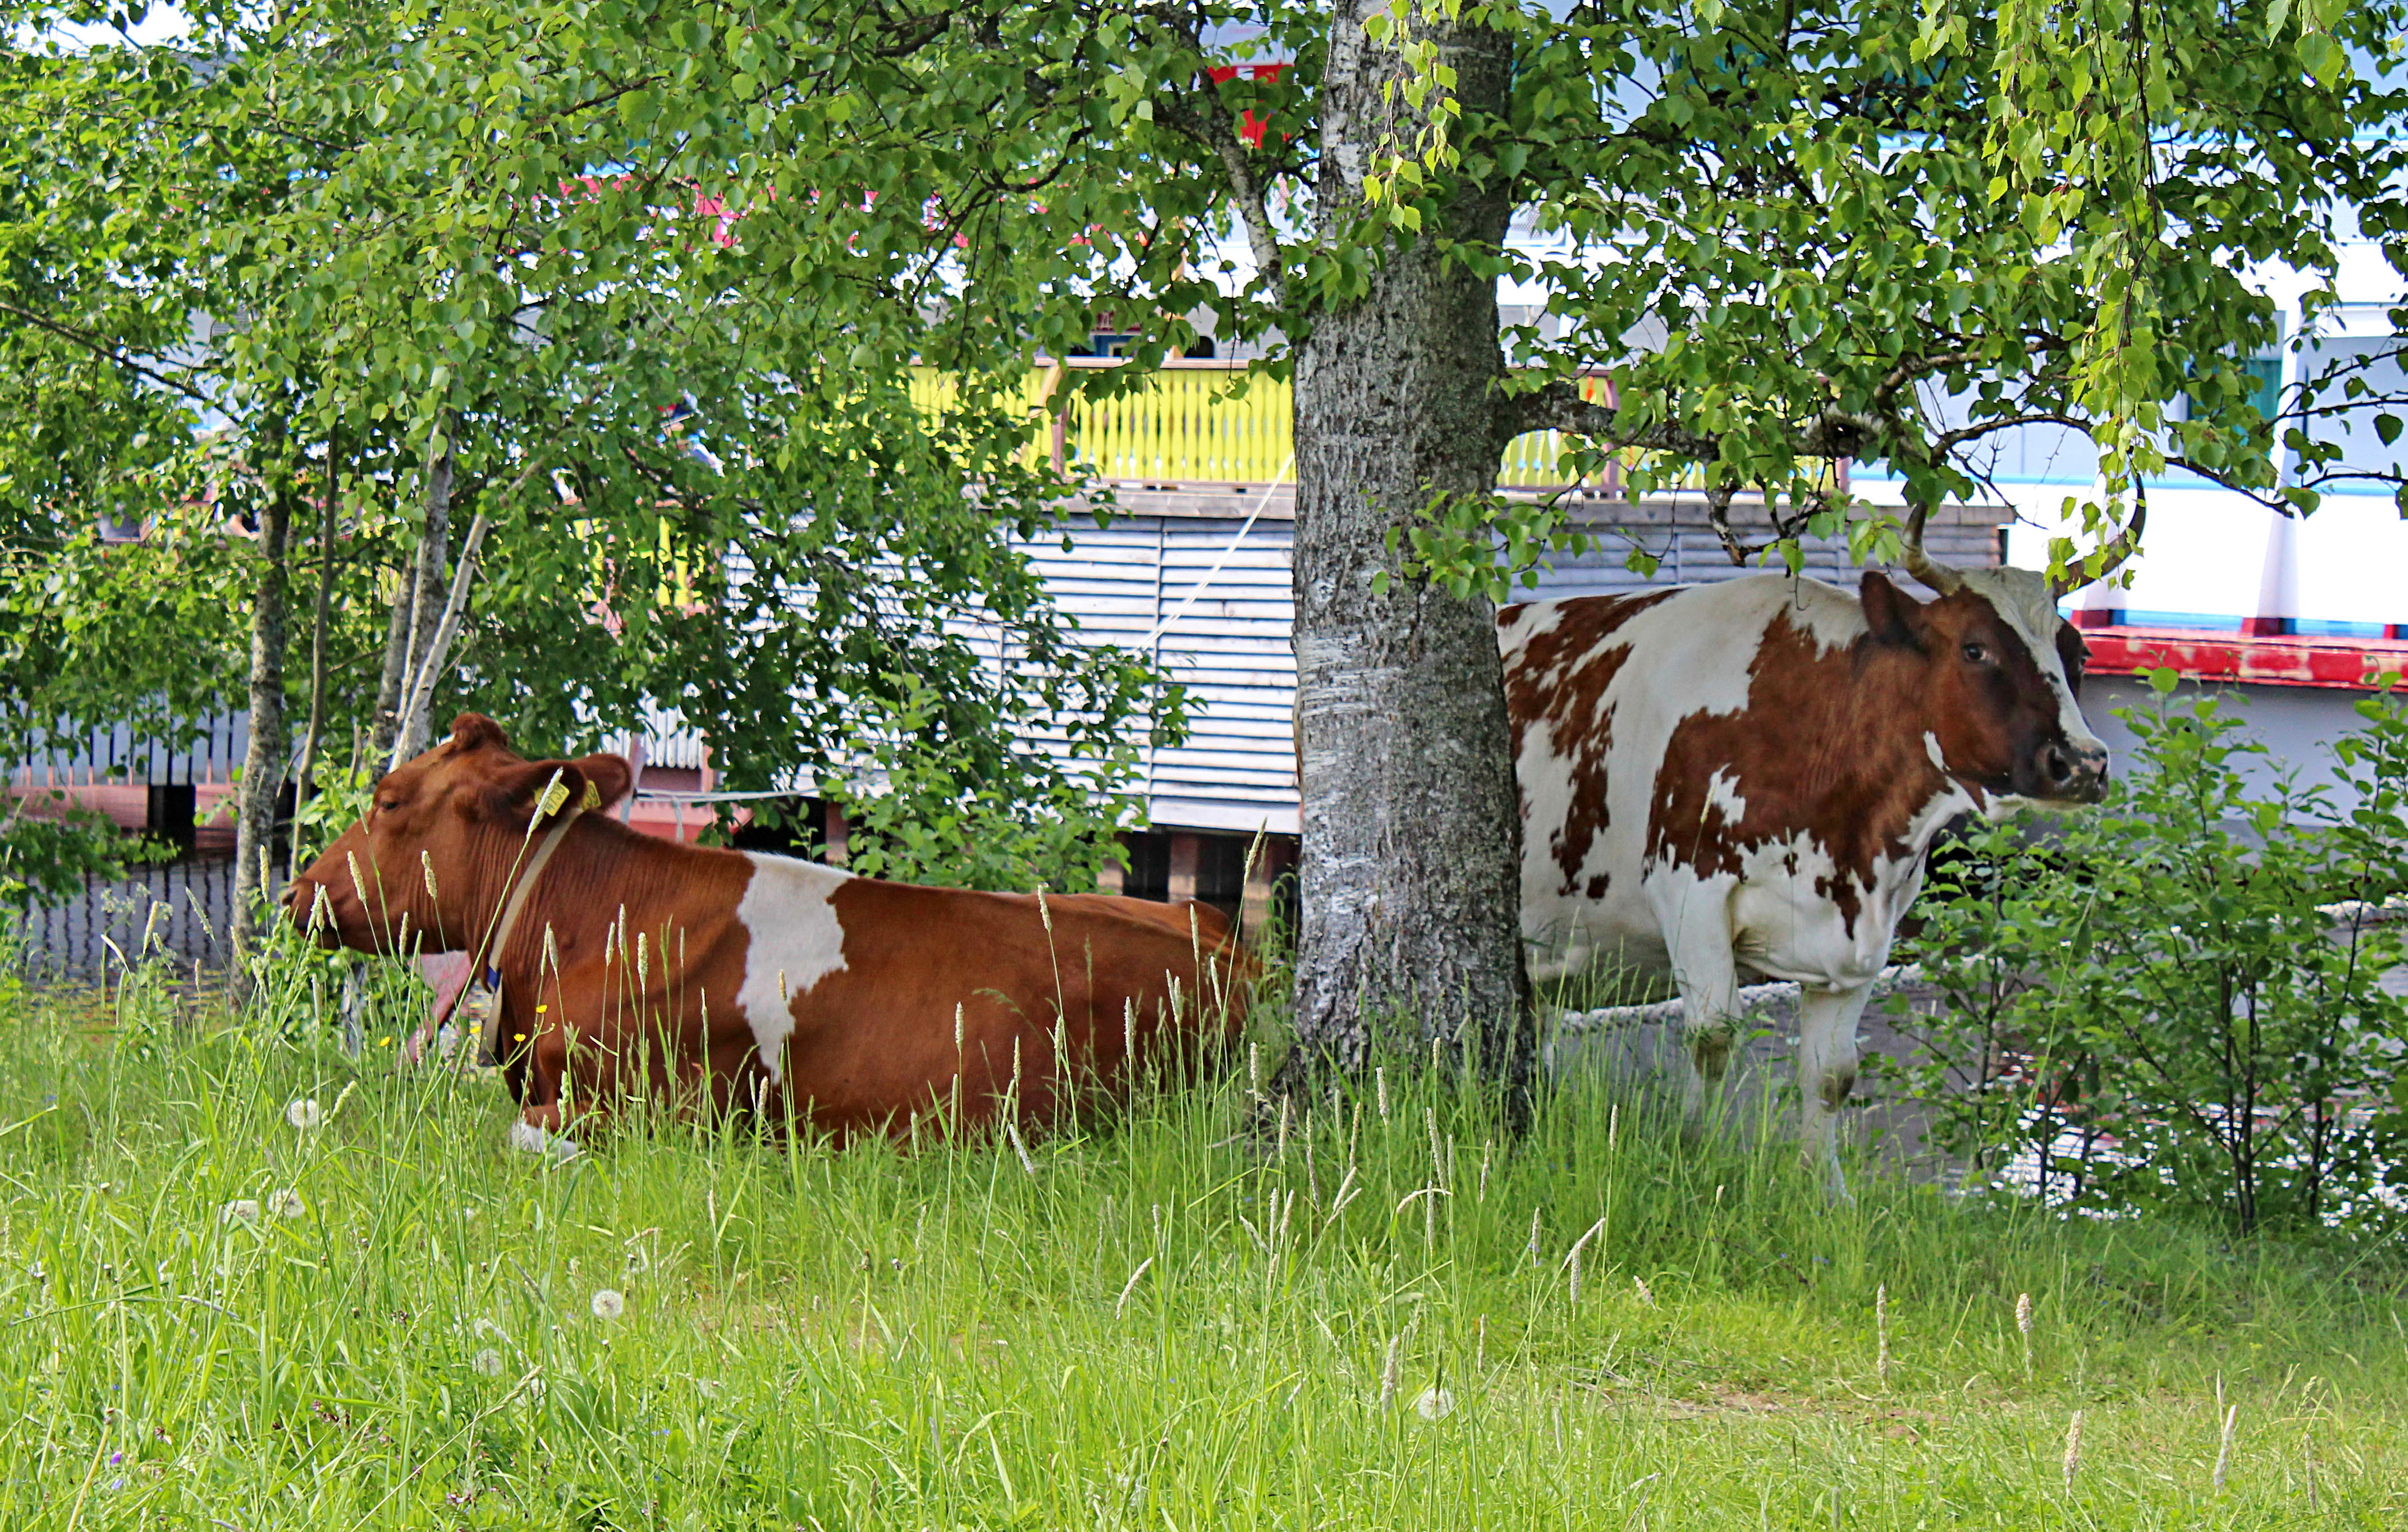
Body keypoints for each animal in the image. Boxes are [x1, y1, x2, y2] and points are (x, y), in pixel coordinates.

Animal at [1502, 539, 2109, 1194]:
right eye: (1976, 648)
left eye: (2078, 653)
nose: (2083, 763)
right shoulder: (1690, 893)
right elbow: (1714, 1034)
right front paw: (1693, 1152)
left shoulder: (1869, 928)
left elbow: (1832, 1073)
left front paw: (1827, 1190)